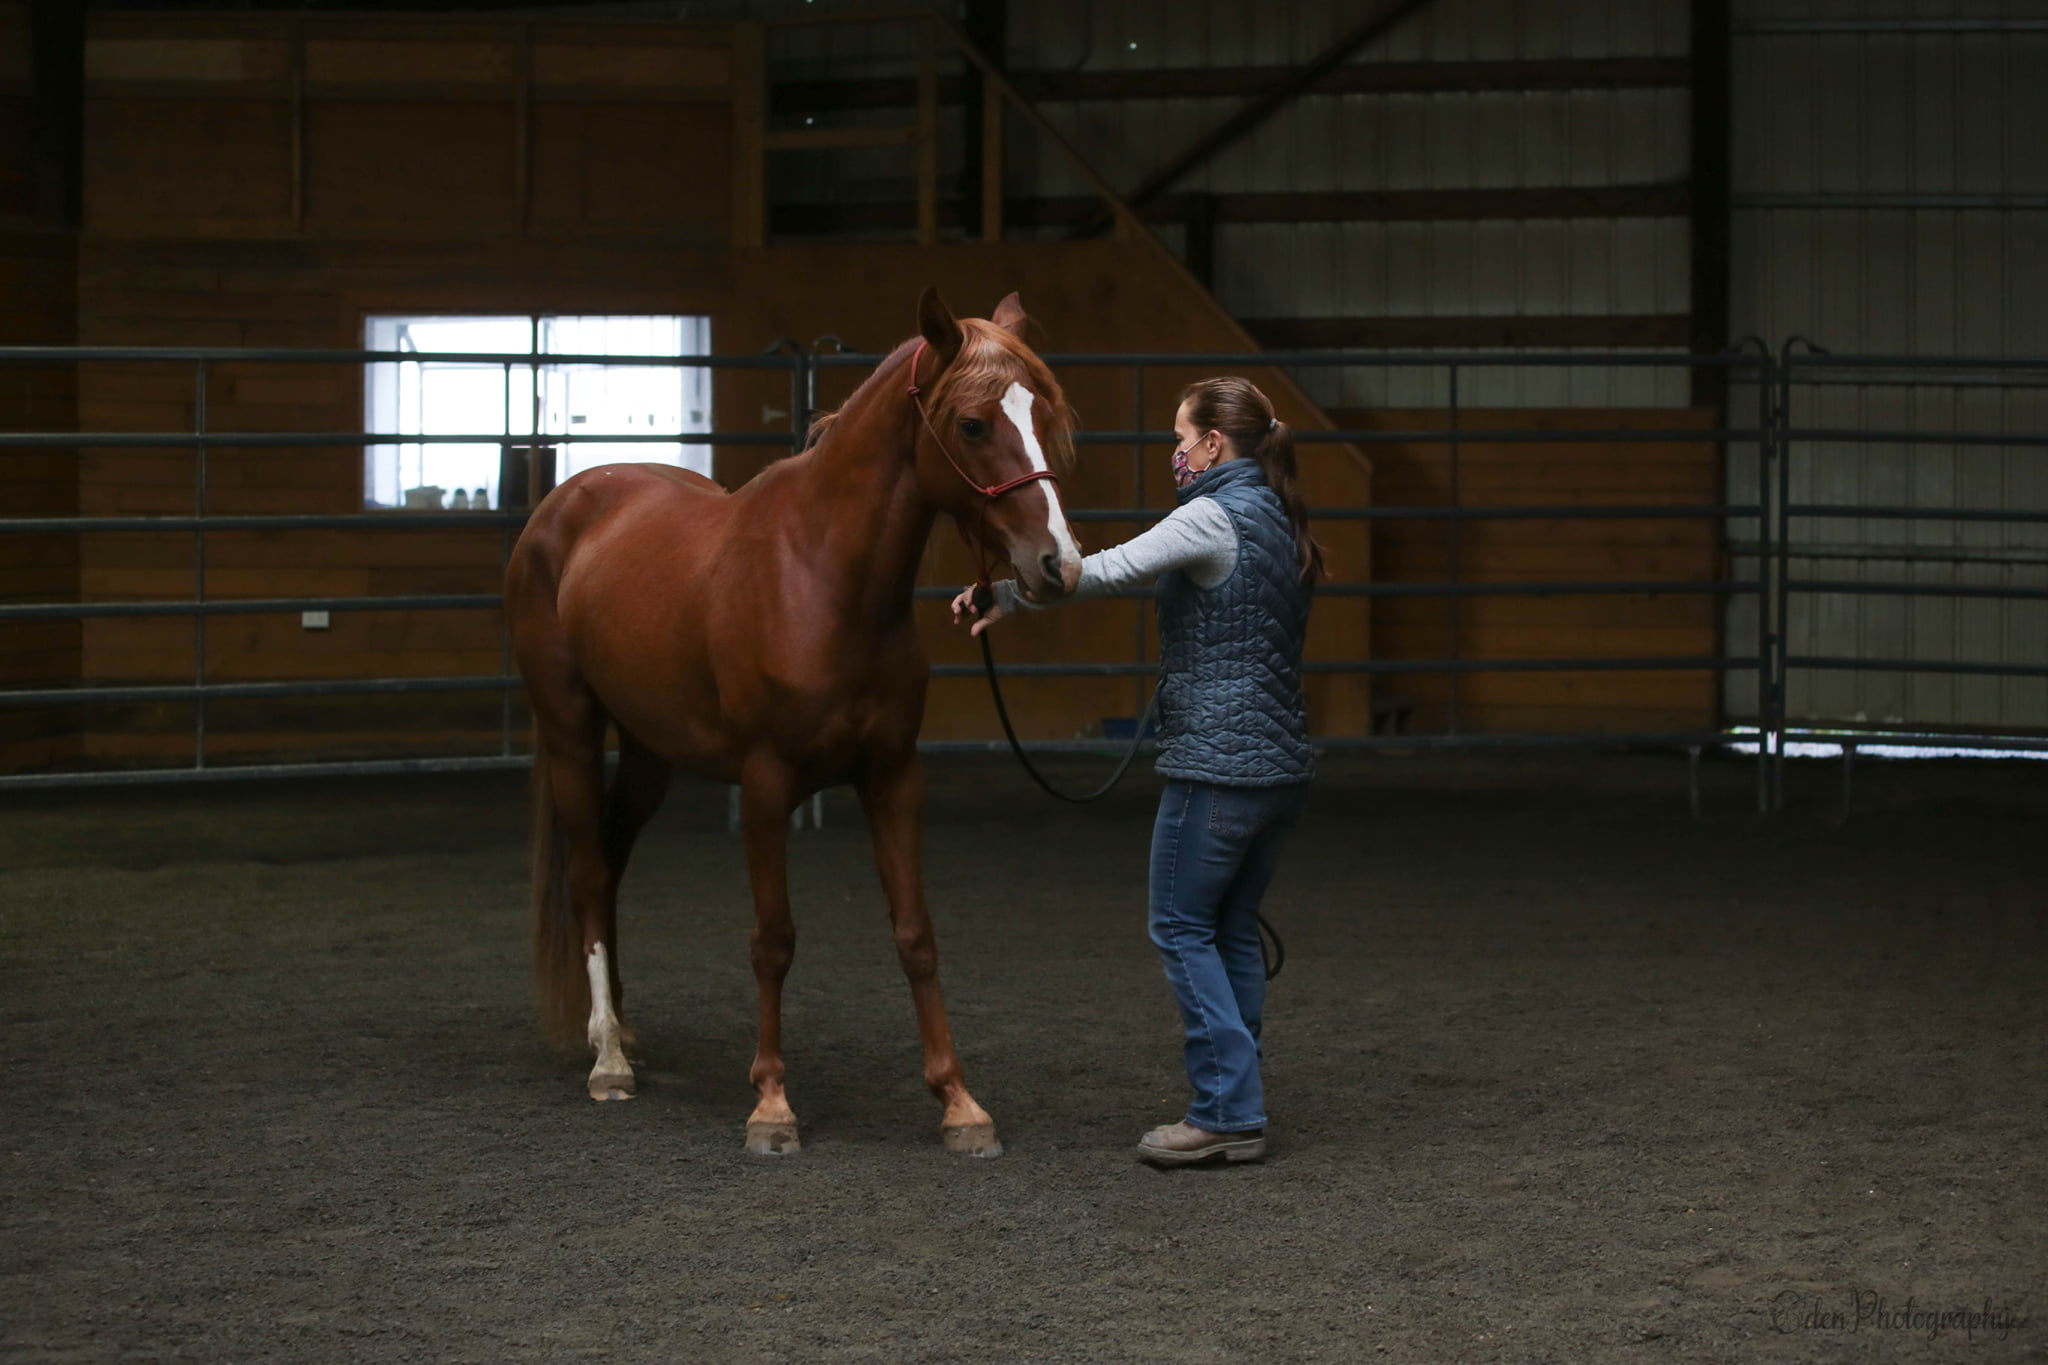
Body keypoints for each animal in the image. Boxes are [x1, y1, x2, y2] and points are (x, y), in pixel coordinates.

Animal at [504, 289, 1082, 1158]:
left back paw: (624, 1029)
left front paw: (958, 1102)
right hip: (572, 731)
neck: (822, 575)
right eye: (975, 424)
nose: (1059, 565)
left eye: (1043, 413)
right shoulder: (767, 783)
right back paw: (608, 1059)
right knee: (589, 874)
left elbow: (916, 934)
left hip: (648, 753)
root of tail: (562, 506)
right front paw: (771, 1104)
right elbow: (773, 941)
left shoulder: (892, 776)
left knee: (611, 860)